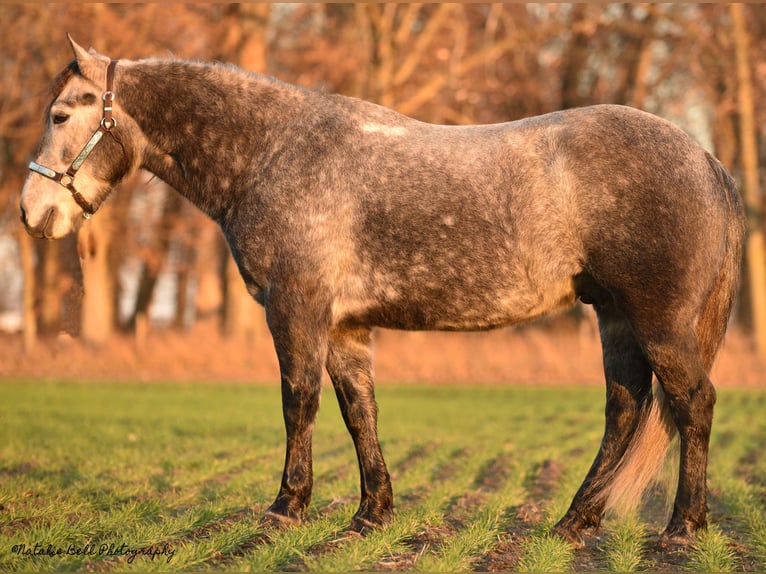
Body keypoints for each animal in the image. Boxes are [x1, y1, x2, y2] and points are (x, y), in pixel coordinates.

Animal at [21, 36, 748, 548]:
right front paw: (371, 515)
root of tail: (705, 159)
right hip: (617, 319)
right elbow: (358, 412)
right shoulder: (345, 327)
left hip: (659, 323)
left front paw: (286, 508)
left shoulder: (296, 308)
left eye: (59, 114)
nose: (31, 212)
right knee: (626, 410)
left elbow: (299, 403)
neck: (274, 152)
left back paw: (682, 528)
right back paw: (575, 522)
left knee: (694, 405)